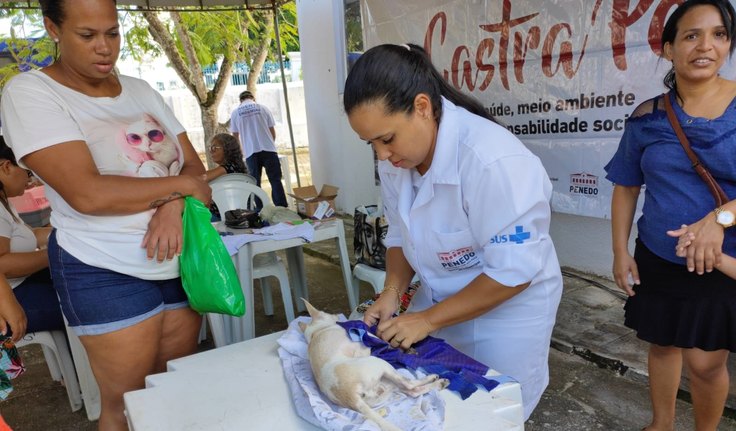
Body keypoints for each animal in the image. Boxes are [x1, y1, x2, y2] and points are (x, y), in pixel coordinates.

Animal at [298, 300, 448, 431]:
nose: (336, 314)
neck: (318, 330)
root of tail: (352, 398)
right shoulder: (369, 341)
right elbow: (383, 340)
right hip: (381, 366)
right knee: (410, 385)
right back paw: (433, 379)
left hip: (385, 381)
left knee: (412, 391)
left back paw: (438, 383)